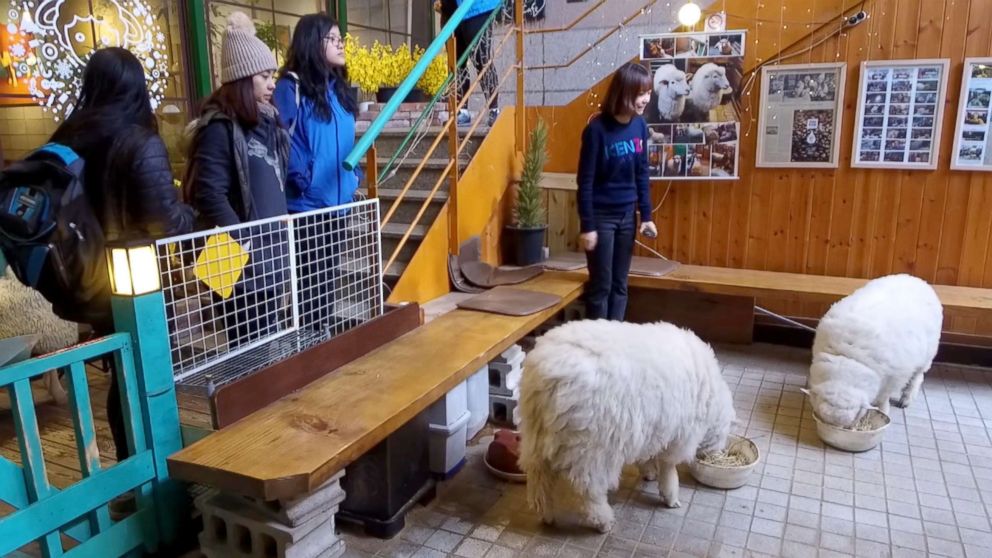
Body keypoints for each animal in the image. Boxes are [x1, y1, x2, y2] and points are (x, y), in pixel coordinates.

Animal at [520, 320, 736, 532]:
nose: (718, 454)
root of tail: (545, 377)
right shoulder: (680, 435)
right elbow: (669, 467)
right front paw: (670, 495)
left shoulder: (651, 428)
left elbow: (648, 456)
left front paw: (649, 472)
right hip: (591, 447)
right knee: (587, 489)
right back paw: (603, 521)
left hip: (536, 437)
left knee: (539, 479)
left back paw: (546, 515)